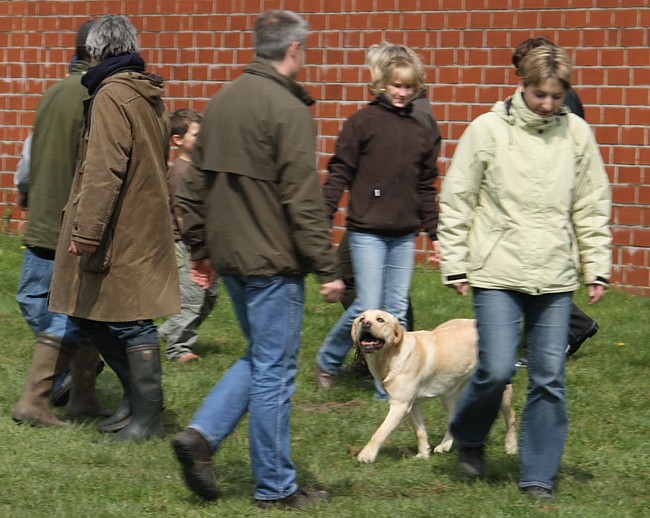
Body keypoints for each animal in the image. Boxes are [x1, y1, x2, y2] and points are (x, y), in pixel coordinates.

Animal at [352, 310, 512, 466]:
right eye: (361, 319)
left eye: (380, 320)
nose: (365, 324)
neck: (389, 358)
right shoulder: (413, 404)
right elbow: (420, 432)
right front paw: (423, 454)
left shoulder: (400, 405)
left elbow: (380, 432)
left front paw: (366, 455)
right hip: (449, 394)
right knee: (454, 419)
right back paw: (445, 446)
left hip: (501, 391)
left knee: (511, 417)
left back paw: (511, 446)